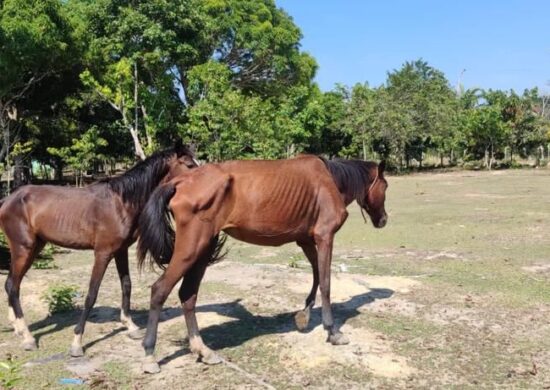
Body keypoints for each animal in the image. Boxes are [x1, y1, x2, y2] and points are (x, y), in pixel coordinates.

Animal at [0, 141, 197, 356]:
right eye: (189, 165)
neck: (121, 202)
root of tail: (8, 200)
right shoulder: (102, 254)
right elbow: (91, 294)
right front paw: (77, 342)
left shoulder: (120, 251)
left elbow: (126, 285)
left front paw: (130, 326)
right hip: (23, 249)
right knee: (12, 286)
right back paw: (27, 337)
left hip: (35, 247)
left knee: (12, 284)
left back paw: (18, 329)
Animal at [137, 155, 388, 372]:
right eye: (385, 187)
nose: (383, 220)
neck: (331, 179)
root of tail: (181, 180)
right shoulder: (324, 237)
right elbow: (325, 283)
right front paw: (332, 331)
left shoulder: (306, 240)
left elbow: (317, 275)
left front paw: (304, 315)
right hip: (191, 250)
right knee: (160, 290)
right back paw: (149, 355)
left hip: (204, 249)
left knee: (188, 294)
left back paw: (203, 350)